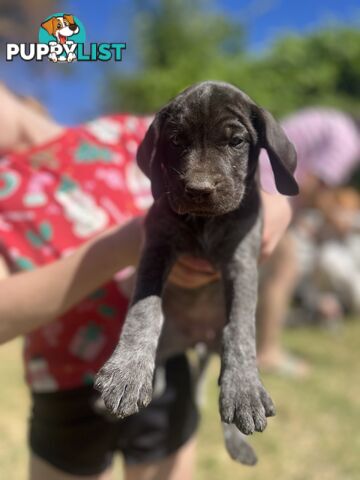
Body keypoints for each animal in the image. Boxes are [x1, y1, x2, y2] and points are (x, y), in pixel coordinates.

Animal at [95, 81, 298, 464]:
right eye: (176, 141)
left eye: (236, 141)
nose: (199, 190)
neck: (205, 223)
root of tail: (196, 340)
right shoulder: (156, 246)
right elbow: (144, 309)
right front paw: (128, 370)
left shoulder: (242, 262)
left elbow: (241, 328)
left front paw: (245, 388)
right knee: (162, 366)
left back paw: (237, 439)